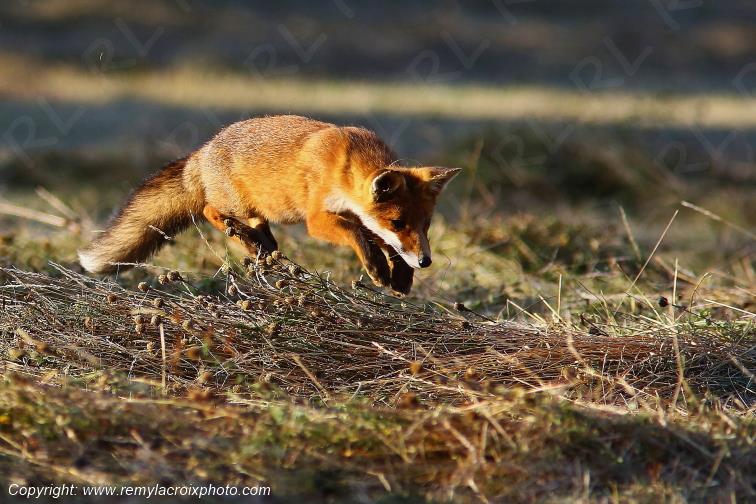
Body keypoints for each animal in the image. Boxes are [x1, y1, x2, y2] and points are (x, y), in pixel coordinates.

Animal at [78, 115, 461, 295]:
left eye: (425, 225)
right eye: (398, 223)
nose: (426, 262)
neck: (346, 167)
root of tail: (202, 150)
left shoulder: (361, 216)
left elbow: (379, 239)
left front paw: (401, 275)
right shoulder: (318, 219)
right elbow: (359, 234)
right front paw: (378, 268)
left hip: (260, 212)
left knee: (262, 234)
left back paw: (260, 248)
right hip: (236, 204)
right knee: (209, 211)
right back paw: (241, 236)